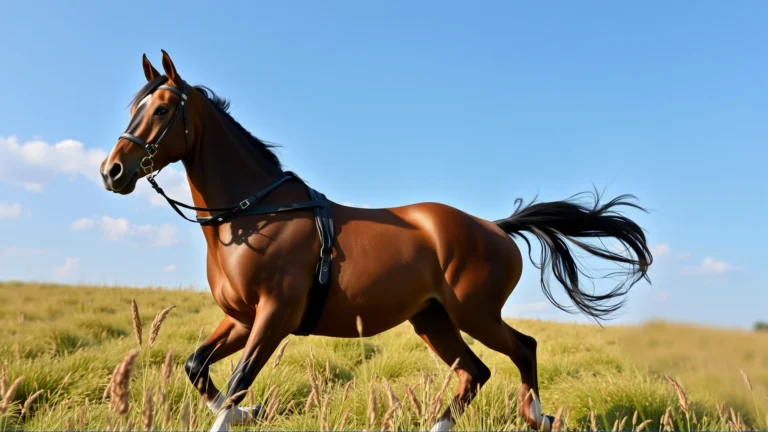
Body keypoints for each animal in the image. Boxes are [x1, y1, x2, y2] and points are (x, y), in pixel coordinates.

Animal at [99, 50, 653, 432]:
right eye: (134, 107)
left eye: (163, 109)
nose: (112, 171)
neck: (253, 212)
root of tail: (495, 227)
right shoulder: (240, 318)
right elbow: (199, 368)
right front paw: (250, 412)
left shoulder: (274, 315)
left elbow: (236, 383)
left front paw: (241, 410)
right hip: (432, 320)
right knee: (474, 373)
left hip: (474, 314)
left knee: (523, 348)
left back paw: (538, 415)